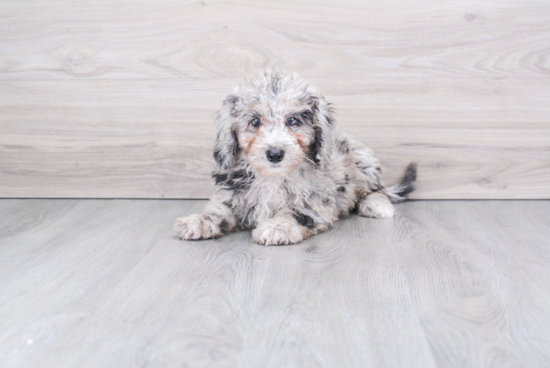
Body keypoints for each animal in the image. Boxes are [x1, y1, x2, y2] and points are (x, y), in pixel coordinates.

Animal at [175, 70, 416, 246]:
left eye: (293, 121)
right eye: (255, 121)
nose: (274, 154)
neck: (272, 177)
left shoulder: (315, 200)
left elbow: (295, 212)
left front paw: (277, 226)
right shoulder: (232, 195)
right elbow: (218, 212)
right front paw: (197, 221)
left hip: (360, 156)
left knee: (376, 190)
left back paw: (376, 205)